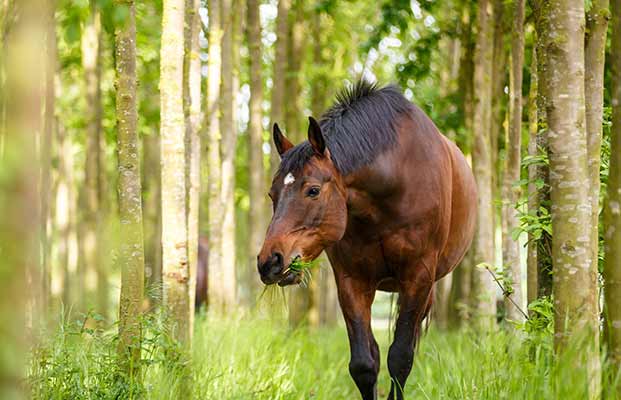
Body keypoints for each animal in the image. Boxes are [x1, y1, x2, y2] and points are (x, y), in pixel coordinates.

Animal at [256, 79, 474, 398]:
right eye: (272, 194)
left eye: (312, 190)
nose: (269, 261)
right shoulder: (351, 281)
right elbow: (364, 363)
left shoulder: (418, 276)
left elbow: (400, 358)